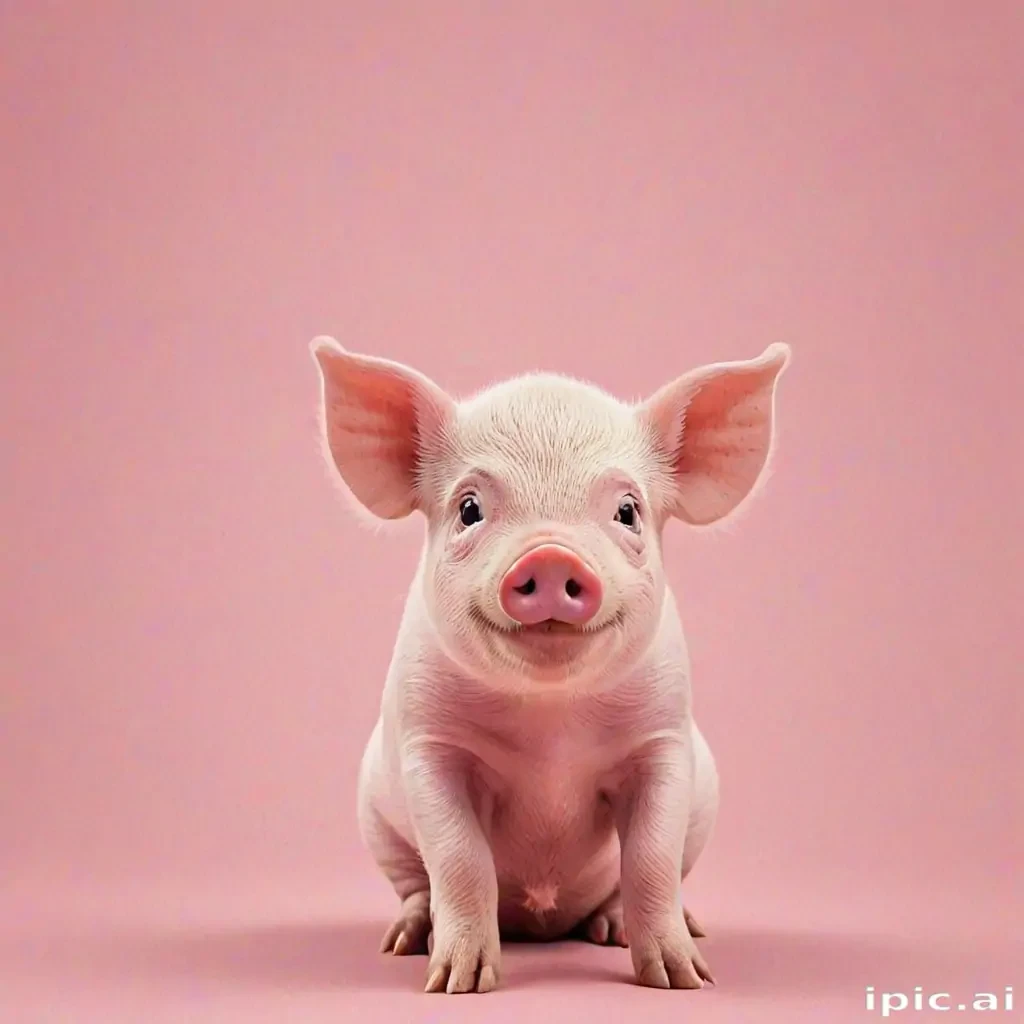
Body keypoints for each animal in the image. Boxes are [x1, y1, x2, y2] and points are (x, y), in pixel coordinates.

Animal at [310, 337, 791, 994]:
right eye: (468, 509)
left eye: (627, 512)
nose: (551, 555)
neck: (550, 730)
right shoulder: (427, 743)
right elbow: (459, 858)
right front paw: (457, 984)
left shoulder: (664, 741)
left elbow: (652, 858)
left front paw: (684, 979)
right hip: (374, 813)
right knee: (415, 884)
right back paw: (404, 940)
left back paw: (626, 929)